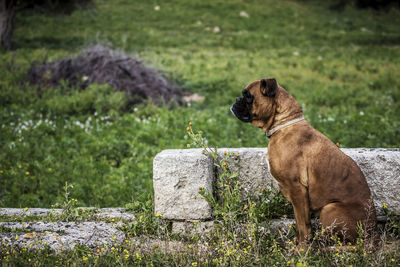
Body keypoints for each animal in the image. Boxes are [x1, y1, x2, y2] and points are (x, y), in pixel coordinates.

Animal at [231, 78, 378, 247]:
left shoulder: (297, 190)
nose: (236, 100)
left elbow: (303, 225)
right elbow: (299, 222)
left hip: (329, 209)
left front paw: (302, 248)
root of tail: (374, 234)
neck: (283, 124)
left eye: (248, 96)